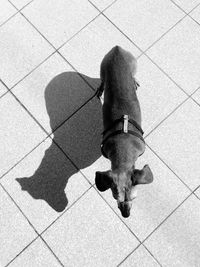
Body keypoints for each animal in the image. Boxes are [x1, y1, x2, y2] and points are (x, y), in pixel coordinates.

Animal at [95, 46, 153, 218]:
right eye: (115, 197)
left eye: (134, 197)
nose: (126, 215)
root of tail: (117, 49)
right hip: (102, 69)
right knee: (103, 80)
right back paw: (100, 89)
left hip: (134, 64)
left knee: (133, 75)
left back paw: (134, 81)